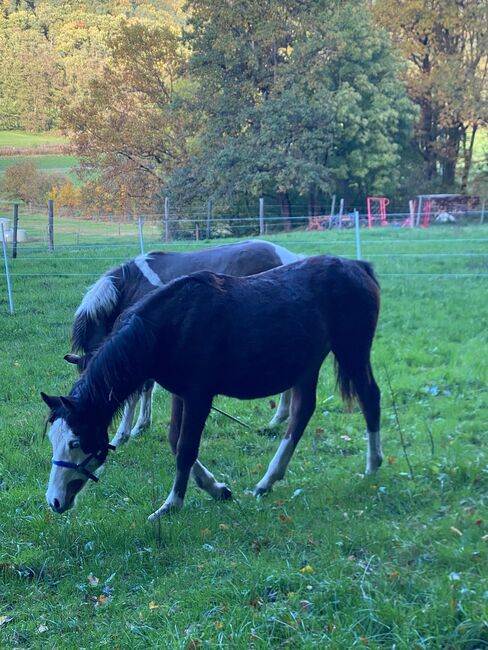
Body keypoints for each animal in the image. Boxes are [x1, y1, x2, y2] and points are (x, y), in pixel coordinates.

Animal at [65, 238, 302, 446]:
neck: (130, 288)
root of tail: (291, 257)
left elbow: (135, 393)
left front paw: (122, 436)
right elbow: (147, 388)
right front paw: (141, 426)